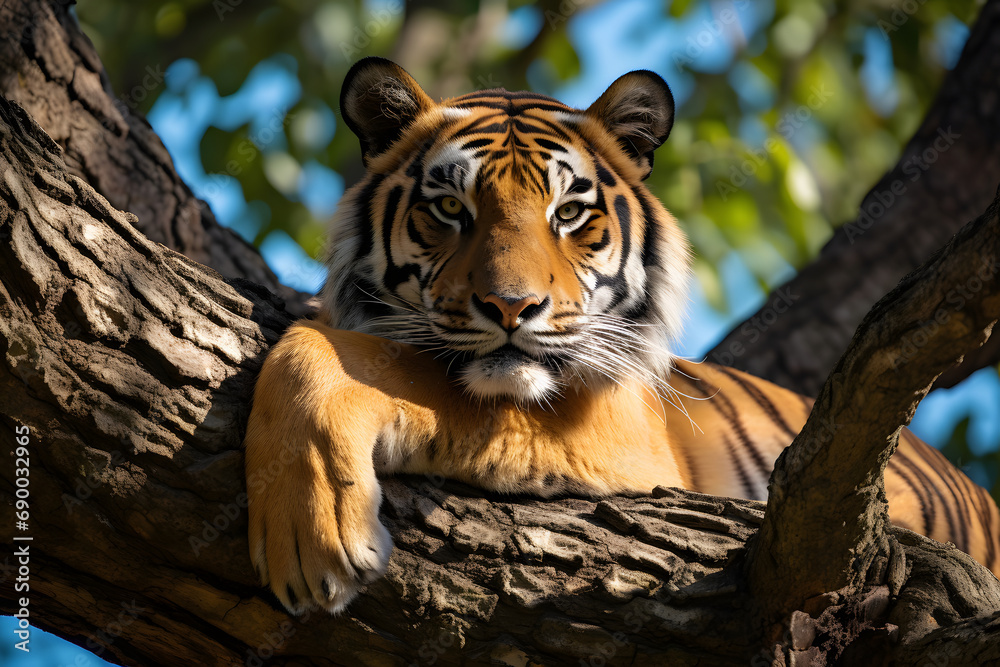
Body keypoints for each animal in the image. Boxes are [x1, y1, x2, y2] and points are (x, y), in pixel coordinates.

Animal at [243, 56, 1000, 615]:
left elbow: (381, 359)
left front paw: (308, 542)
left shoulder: (616, 430)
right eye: (451, 208)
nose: (512, 307)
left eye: (569, 212)